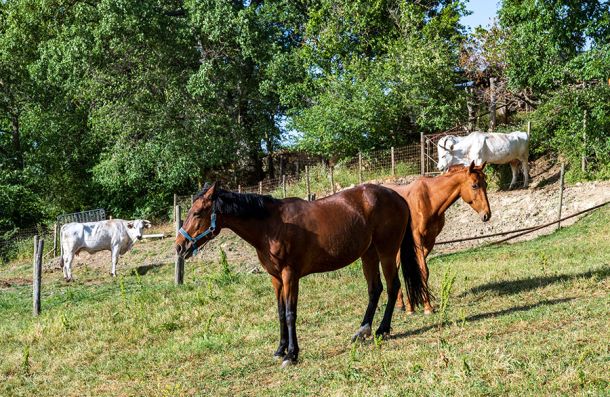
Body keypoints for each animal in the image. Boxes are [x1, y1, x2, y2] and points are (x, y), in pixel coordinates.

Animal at [173, 181, 426, 366]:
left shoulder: (290, 276)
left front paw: (291, 354)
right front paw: (280, 349)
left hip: (387, 251)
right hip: (369, 253)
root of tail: (397, 197)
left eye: (198, 213)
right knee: (375, 290)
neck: (271, 226)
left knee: (393, 288)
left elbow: (290, 314)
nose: (179, 247)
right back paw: (362, 331)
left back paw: (382, 330)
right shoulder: (276, 279)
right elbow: (279, 313)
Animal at [382, 160, 492, 312]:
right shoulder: (417, 239)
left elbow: (422, 272)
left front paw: (415, 305)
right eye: (474, 185)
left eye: (485, 184)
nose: (487, 215)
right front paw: (426, 307)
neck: (429, 200)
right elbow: (421, 270)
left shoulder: (430, 241)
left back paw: (401, 304)